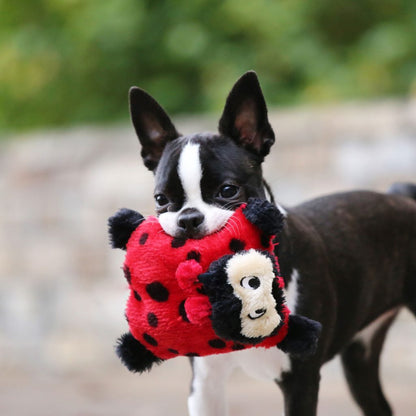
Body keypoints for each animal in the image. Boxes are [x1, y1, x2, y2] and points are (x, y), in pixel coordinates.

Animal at [127, 71, 416, 416]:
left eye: (228, 191)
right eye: (161, 200)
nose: (188, 218)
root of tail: (401, 197)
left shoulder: (301, 380)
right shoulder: (205, 384)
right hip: (360, 356)